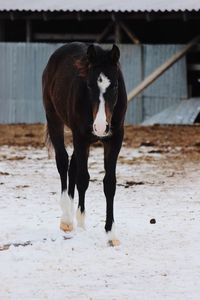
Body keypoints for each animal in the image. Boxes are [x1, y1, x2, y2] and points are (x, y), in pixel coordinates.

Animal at [42, 44, 126, 246]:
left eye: (115, 86)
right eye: (89, 85)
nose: (101, 127)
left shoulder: (115, 139)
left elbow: (109, 183)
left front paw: (111, 234)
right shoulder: (80, 137)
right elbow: (83, 178)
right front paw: (78, 221)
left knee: (72, 165)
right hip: (54, 119)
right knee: (63, 162)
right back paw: (66, 219)